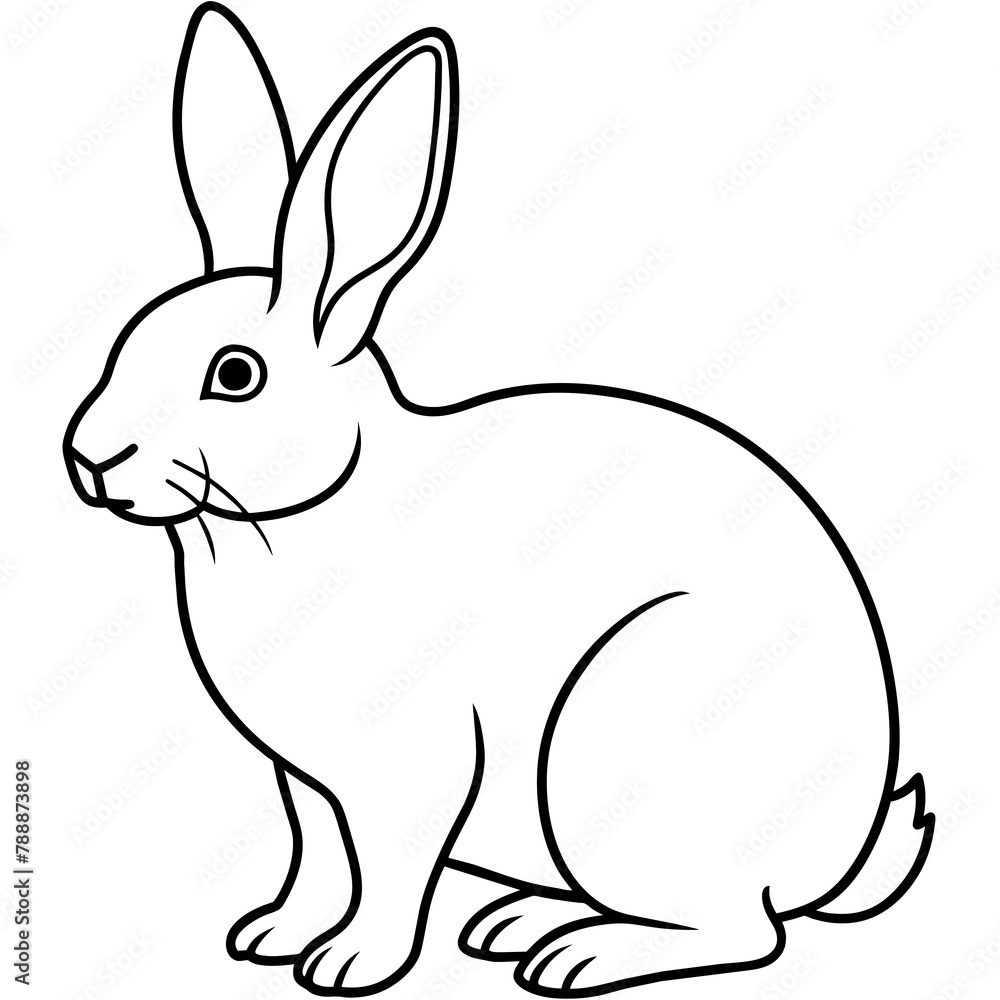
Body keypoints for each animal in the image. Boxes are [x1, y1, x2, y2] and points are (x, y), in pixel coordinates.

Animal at [63, 4, 933, 996]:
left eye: (234, 376)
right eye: (129, 337)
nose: (89, 459)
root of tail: (837, 857)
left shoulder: (415, 767)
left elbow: (389, 869)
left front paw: (349, 964)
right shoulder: (305, 783)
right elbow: (316, 855)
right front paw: (272, 936)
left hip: (615, 749)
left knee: (743, 933)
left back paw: (576, 955)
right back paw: (518, 924)